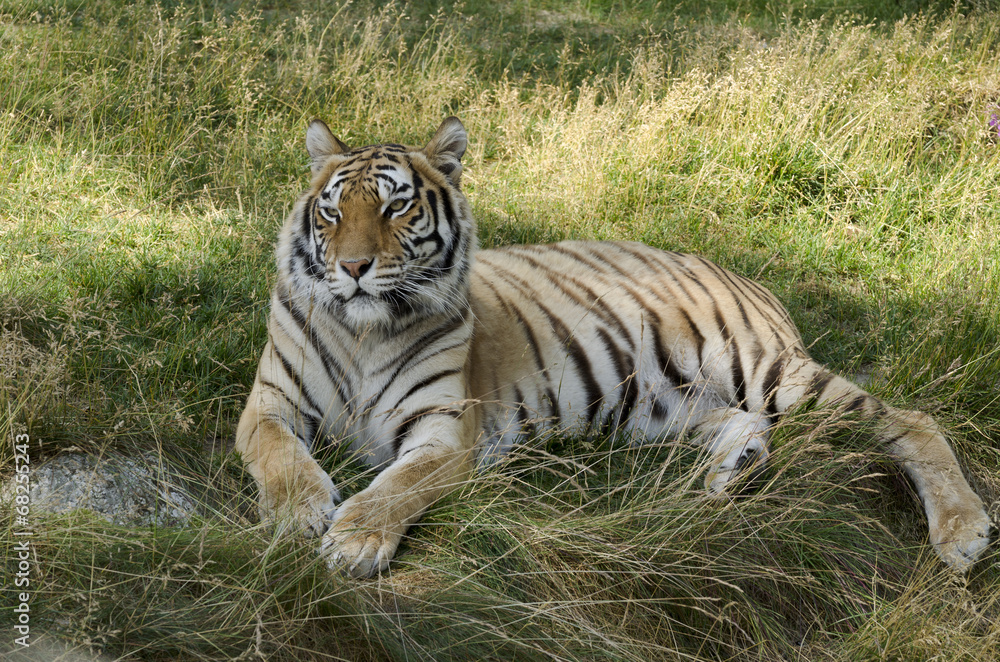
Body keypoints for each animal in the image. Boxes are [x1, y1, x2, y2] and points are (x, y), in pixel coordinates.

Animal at [235, 117, 991, 578]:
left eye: (396, 206)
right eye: (333, 210)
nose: (354, 267)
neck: (364, 329)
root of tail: (749, 276)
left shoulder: (445, 431)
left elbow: (396, 487)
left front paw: (353, 539)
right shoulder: (269, 403)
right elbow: (279, 457)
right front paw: (301, 513)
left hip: (770, 372)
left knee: (911, 422)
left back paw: (963, 532)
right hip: (658, 407)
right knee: (743, 424)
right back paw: (731, 475)